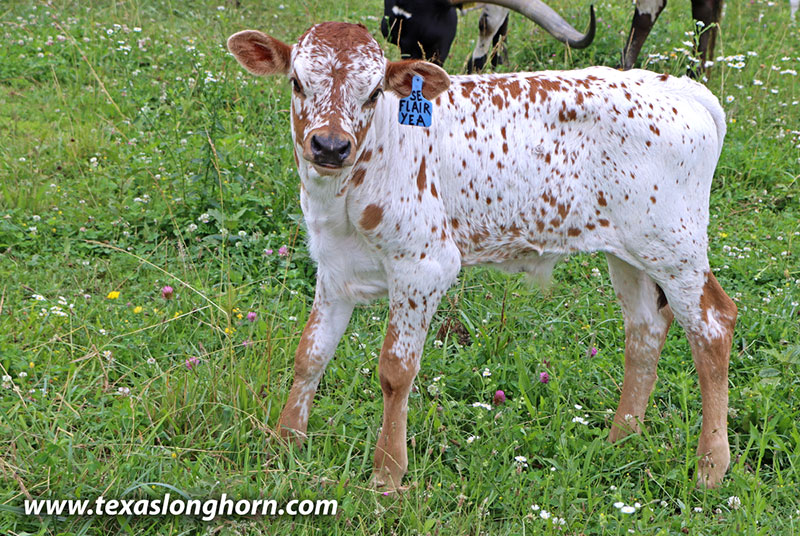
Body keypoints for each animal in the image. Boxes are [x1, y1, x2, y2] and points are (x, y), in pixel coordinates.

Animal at [227, 22, 737, 492]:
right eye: (297, 81)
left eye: (372, 92)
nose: (330, 146)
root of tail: (674, 85)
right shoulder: (333, 268)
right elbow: (310, 354)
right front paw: (284, 443)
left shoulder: (424, 266)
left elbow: (396, 371)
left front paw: (388, 474)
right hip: (630, 250)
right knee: (645, 328)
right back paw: (621, 440)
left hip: (675, 247)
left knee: (713, 325)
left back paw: (710, 467)